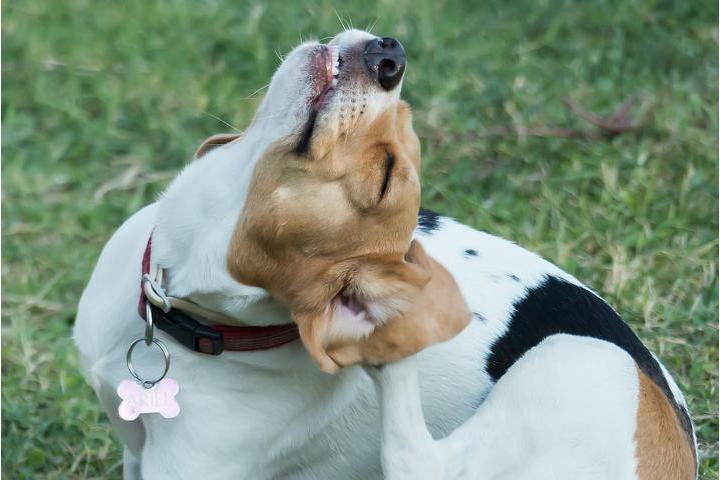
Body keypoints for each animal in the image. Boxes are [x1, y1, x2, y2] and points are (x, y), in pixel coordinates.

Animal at [74, 30, 696, 480]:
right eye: (406, 121)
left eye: (384, 180)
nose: (391, 55)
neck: (178, 307)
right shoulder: (135, 455)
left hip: (581, 360)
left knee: (415, 458)